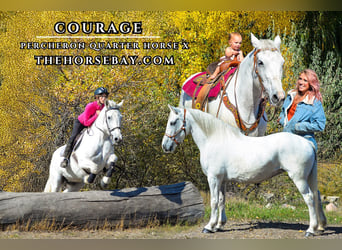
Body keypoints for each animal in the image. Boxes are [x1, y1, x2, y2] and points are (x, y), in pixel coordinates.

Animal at [162, 105, 328, 236]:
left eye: (172, 122)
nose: (165, 146)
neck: (213, 140)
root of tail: (307, 143)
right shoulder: (222, 180)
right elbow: (221, 201)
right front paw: (219, 225)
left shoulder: (213, 178)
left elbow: (214, 201)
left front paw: (209, 227)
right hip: (308, 177)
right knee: (316, 195)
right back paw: (319, 227)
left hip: (299, 178)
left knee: (309, 198)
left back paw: (310, 230)